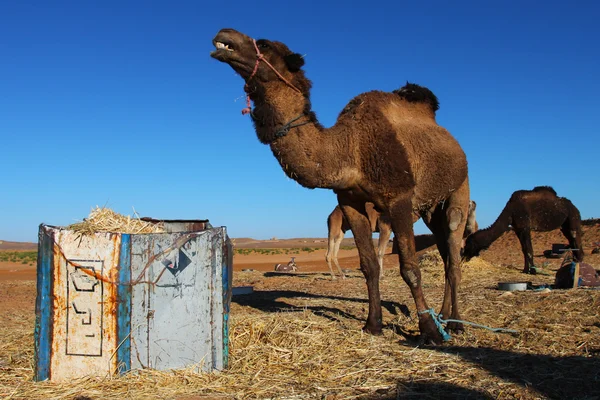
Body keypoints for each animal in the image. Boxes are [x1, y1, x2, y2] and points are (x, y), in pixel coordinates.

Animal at [213, 28, 472, 344]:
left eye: (263, 43)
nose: (224, 35)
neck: (352, 150)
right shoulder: (350, 201)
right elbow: (369, 266)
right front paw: (373, 325)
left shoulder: (398, 198)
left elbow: (410, 268)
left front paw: (429, 331)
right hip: (429, 209)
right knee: (446, 255)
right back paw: (445, 316)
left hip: (460, 189)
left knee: (454, 253)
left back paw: (454, 323)